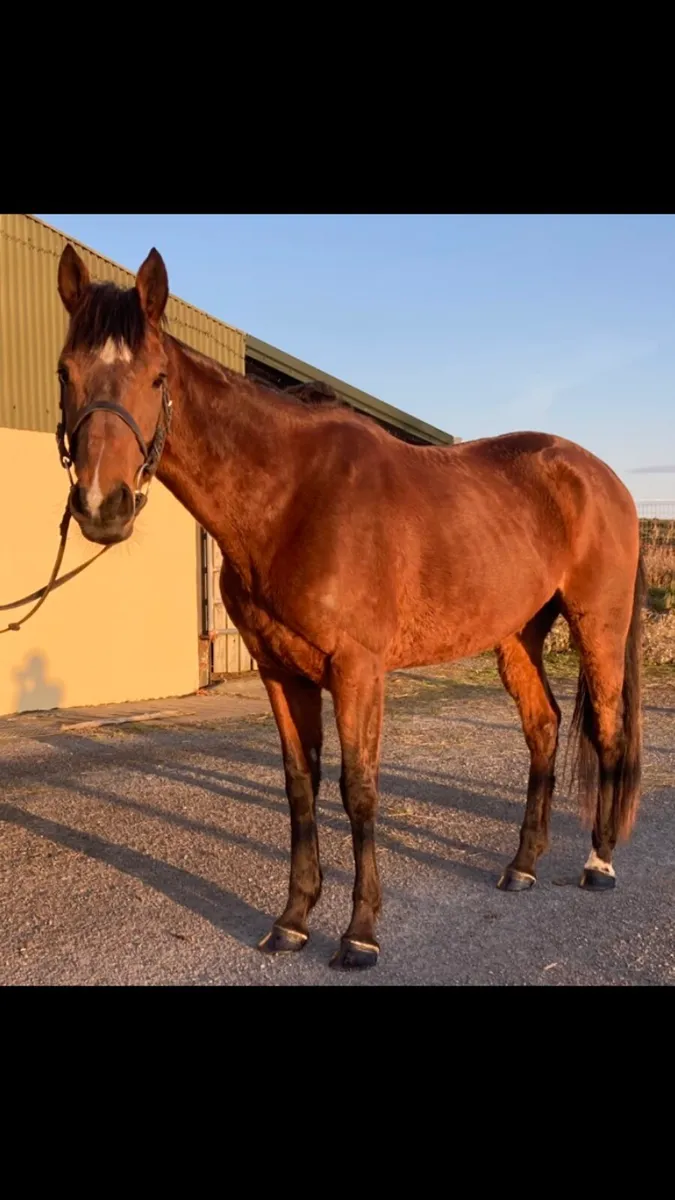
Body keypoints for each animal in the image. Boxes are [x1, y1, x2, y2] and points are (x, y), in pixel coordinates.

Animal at [54, 242, 645, 971]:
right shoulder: (282, 672)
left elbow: (357, 790)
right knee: (543, 727)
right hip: (516, 636)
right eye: (65, 372)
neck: (293, 497)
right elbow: (299, 787)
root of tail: (600, 477)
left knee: (608, 730)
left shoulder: (358, 670)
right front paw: (292, 921)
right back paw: (522, 866)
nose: (101, 507)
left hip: (597, 627)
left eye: (156, 376)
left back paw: (598, 864)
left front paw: (360, 933)